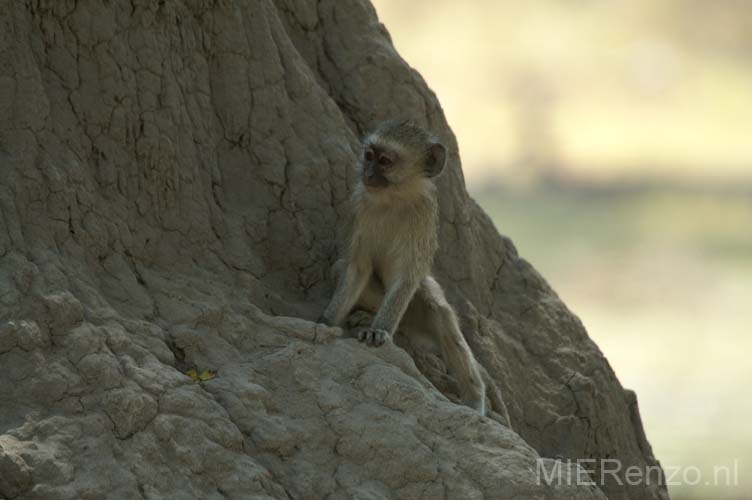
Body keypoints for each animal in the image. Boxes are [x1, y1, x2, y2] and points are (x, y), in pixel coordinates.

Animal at [322, 120, 488, 414]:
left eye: (385, 161)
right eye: (369, 155)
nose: (367, 173)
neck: (393, 199)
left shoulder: (423, 215)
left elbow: (407, 278)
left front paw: (379, 330)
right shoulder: (359, 206)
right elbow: (356, 267)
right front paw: (328, 321)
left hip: (415, 310)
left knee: (438, 310)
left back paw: (474, 399)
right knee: (339, 268)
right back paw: (365, 315)